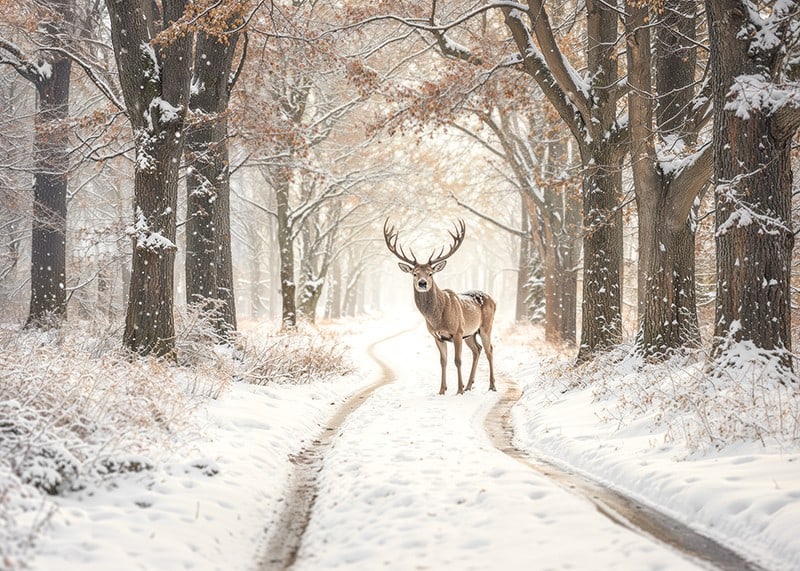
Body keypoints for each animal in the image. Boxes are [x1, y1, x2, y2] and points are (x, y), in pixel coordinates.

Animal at [383, 218, 496, 395]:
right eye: (414, 273)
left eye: (430, 273)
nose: (422, 283)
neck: (437, 318)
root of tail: (493, 300)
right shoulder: (437, 336)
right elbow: (443, 361)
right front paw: (442, 390)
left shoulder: (457, 332)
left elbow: (457, 360)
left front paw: (459, 390)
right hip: (471, 333)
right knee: (477, 349)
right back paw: (470, 385)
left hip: (486, 326)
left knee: (489, 349)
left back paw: (491, 386)